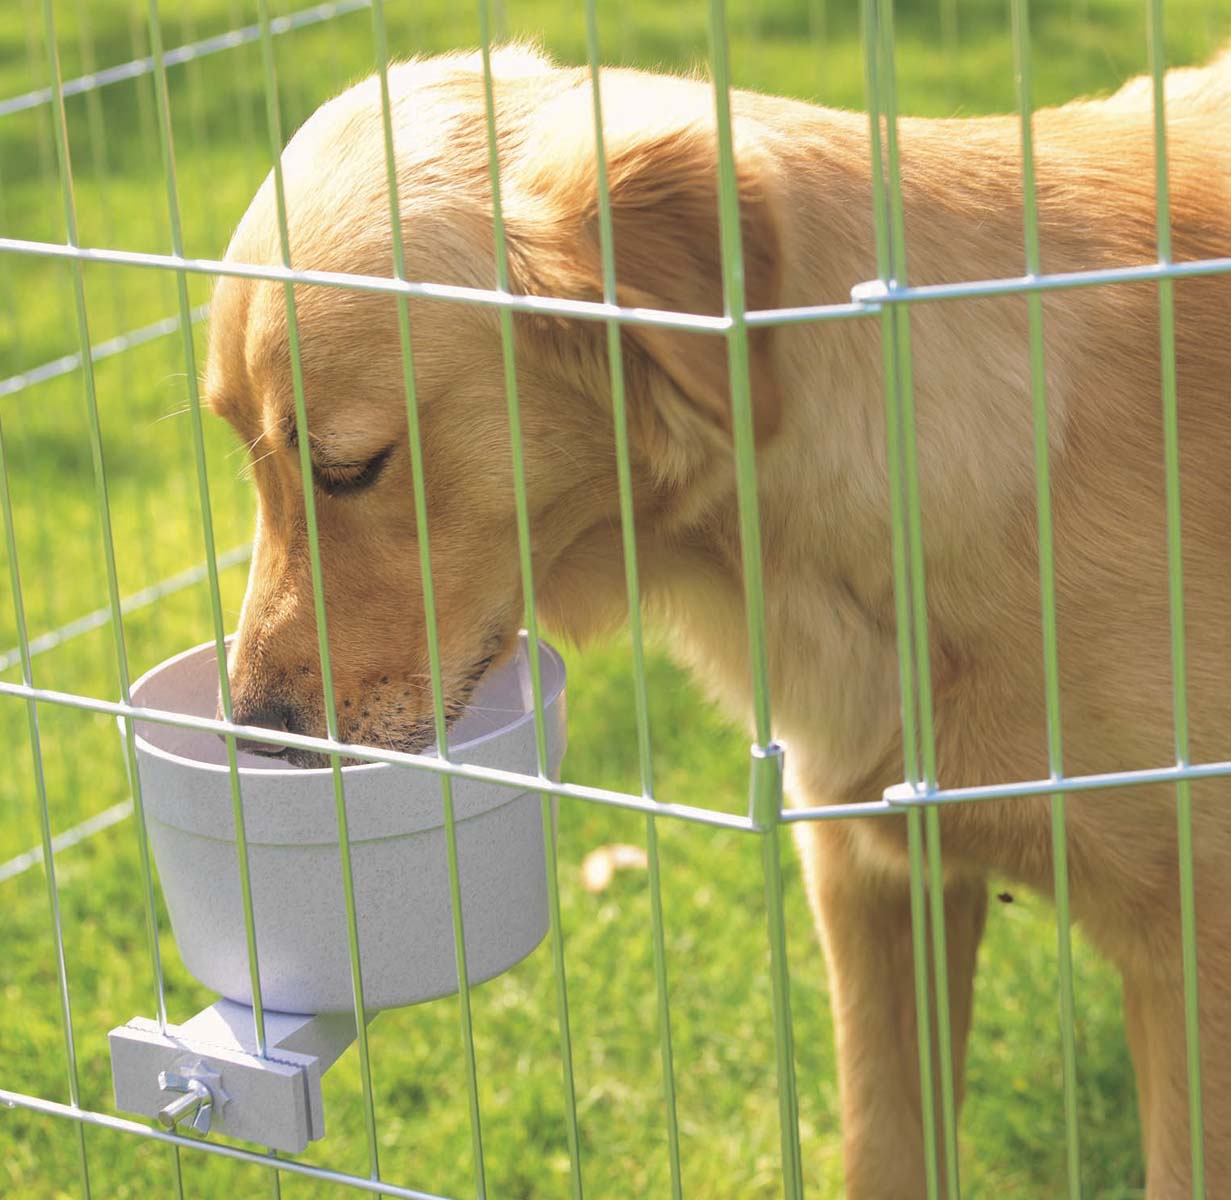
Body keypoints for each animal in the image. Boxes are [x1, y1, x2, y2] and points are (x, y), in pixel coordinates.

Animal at [206, 42, 1231, 1196]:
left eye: (349, 465)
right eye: (244, 450)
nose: (249, 730)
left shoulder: (1195, 945)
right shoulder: (874, 882)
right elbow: (883, 1147)